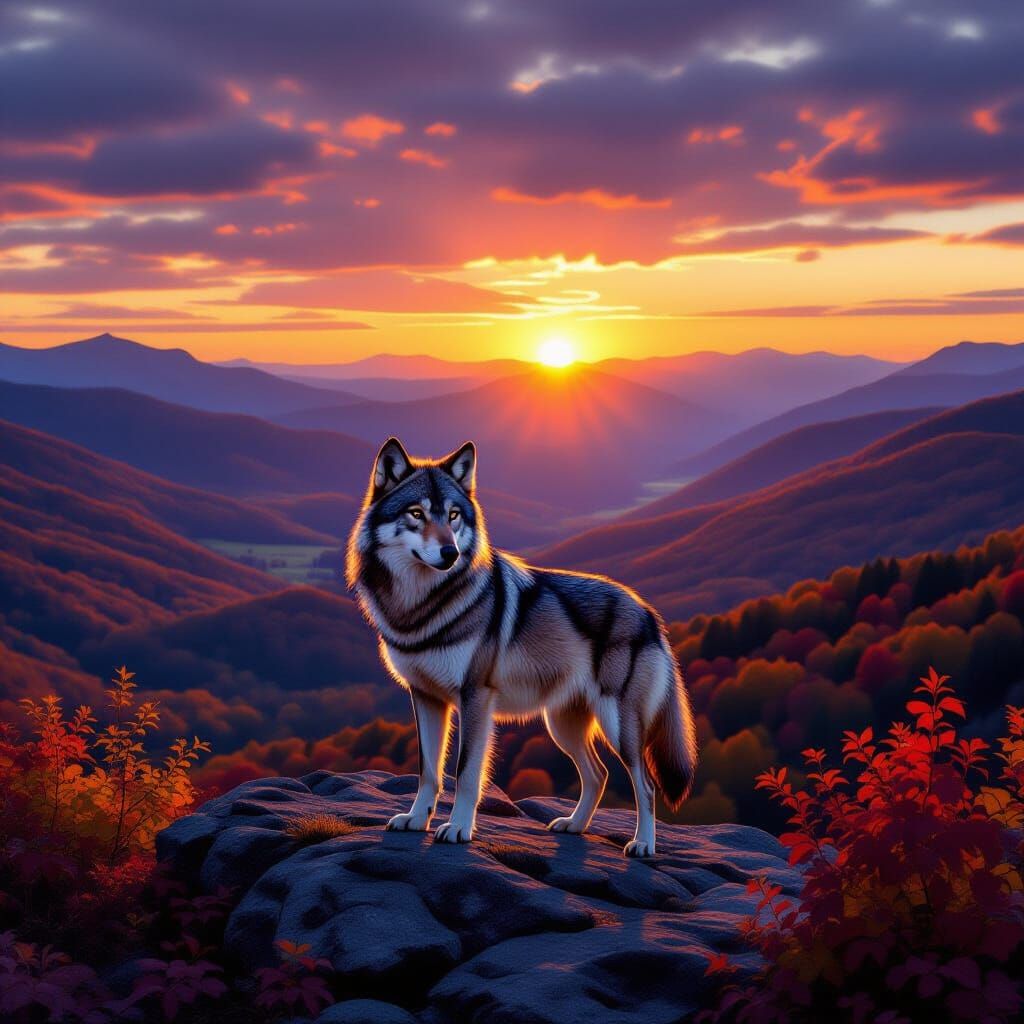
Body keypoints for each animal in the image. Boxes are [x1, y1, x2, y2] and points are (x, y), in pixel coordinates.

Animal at [346, 437, 697, 856]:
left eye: (453, 516)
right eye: (417, 513)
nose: (450, 554)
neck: (421, 607)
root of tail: (649, 614)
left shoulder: (475, 698)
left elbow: (466, 772)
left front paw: (458, 828)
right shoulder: (424, 697)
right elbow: (428, 770)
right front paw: (416, 820)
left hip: (618, 726)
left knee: (645, 784)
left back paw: (642, 844)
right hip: (561, 725)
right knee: (598, 774)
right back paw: (574, 825)